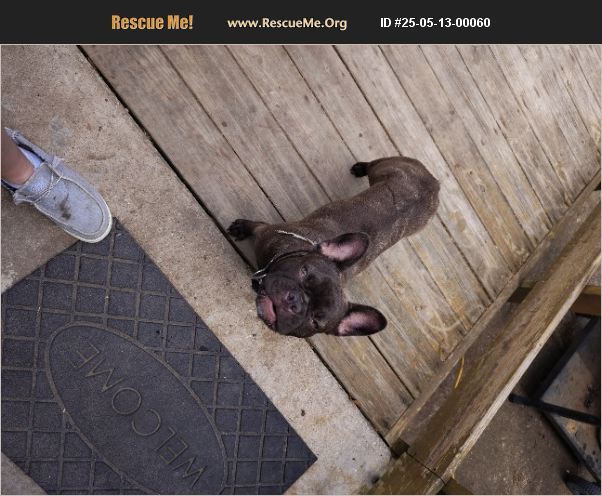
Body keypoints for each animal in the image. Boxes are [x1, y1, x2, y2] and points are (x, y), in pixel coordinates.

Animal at [227, 157, 439, 338]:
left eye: (315, 321)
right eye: (304, 271)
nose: (296, 301)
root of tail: (434, 184)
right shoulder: (266, 231)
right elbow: (255, 226)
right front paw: (241, 228)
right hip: (385, 168)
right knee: (374, 164)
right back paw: (360, 167)